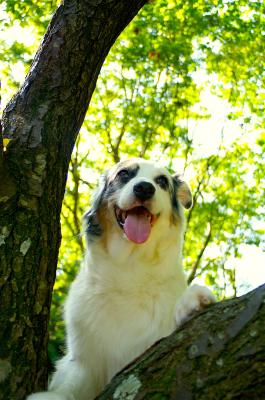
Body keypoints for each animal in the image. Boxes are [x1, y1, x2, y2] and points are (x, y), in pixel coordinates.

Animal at [28, 159, 214, 400]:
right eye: (124, 174)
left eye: (162, 181)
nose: (144, 188)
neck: (129, 267)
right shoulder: (85, 362)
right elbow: (71, 384)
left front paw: (193, 302)